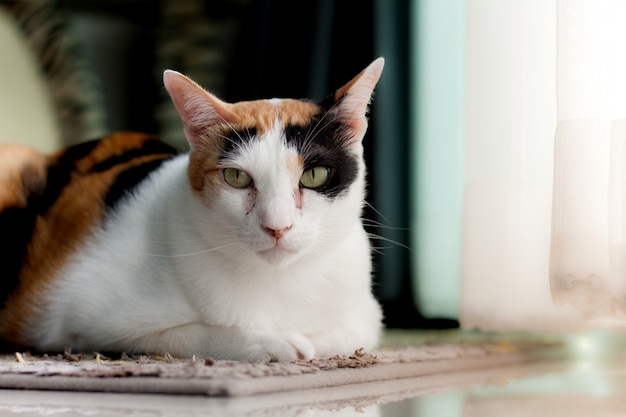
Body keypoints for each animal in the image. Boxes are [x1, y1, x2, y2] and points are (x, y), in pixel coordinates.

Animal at [0, 57, 382, 360]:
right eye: (237, 178)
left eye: (314, 175)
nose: (277, 226)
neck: (279, 279)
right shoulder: (88, 322)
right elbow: (191, 334)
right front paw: (272, 344)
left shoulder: (367, 316)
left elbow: (351, 335)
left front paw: (309, 342)